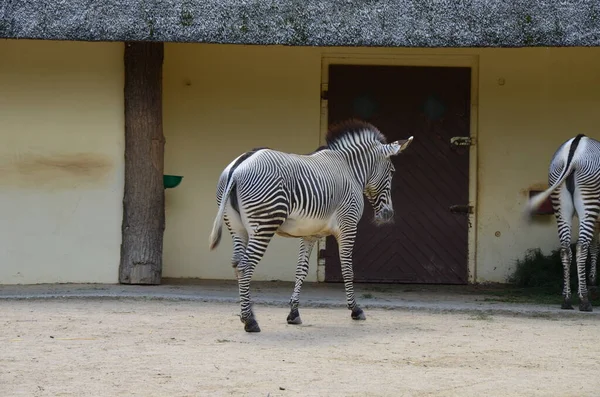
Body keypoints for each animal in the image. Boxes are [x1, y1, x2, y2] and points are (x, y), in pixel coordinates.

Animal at [207, 120, 412, 332]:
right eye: (392, 172)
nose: (388, 215)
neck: (350, 170)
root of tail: (239, 165)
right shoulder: (348, 226)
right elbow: (347, 269)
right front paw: (355, 310)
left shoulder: (310, 233)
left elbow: (301, 270)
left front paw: (294, 313)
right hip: (263, 225)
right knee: (245, 266)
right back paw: (250, 321)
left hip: (237, 229)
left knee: (236, 263)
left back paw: (246, 314)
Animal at [524, 135, 600, 310]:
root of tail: (575, 146)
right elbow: (595, 246)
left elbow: (595, 245)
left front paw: (591, 281)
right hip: (589, 199)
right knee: (581, 247)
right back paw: (584, 301)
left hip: (560, 201)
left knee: (565, 249)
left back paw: (566, 299)